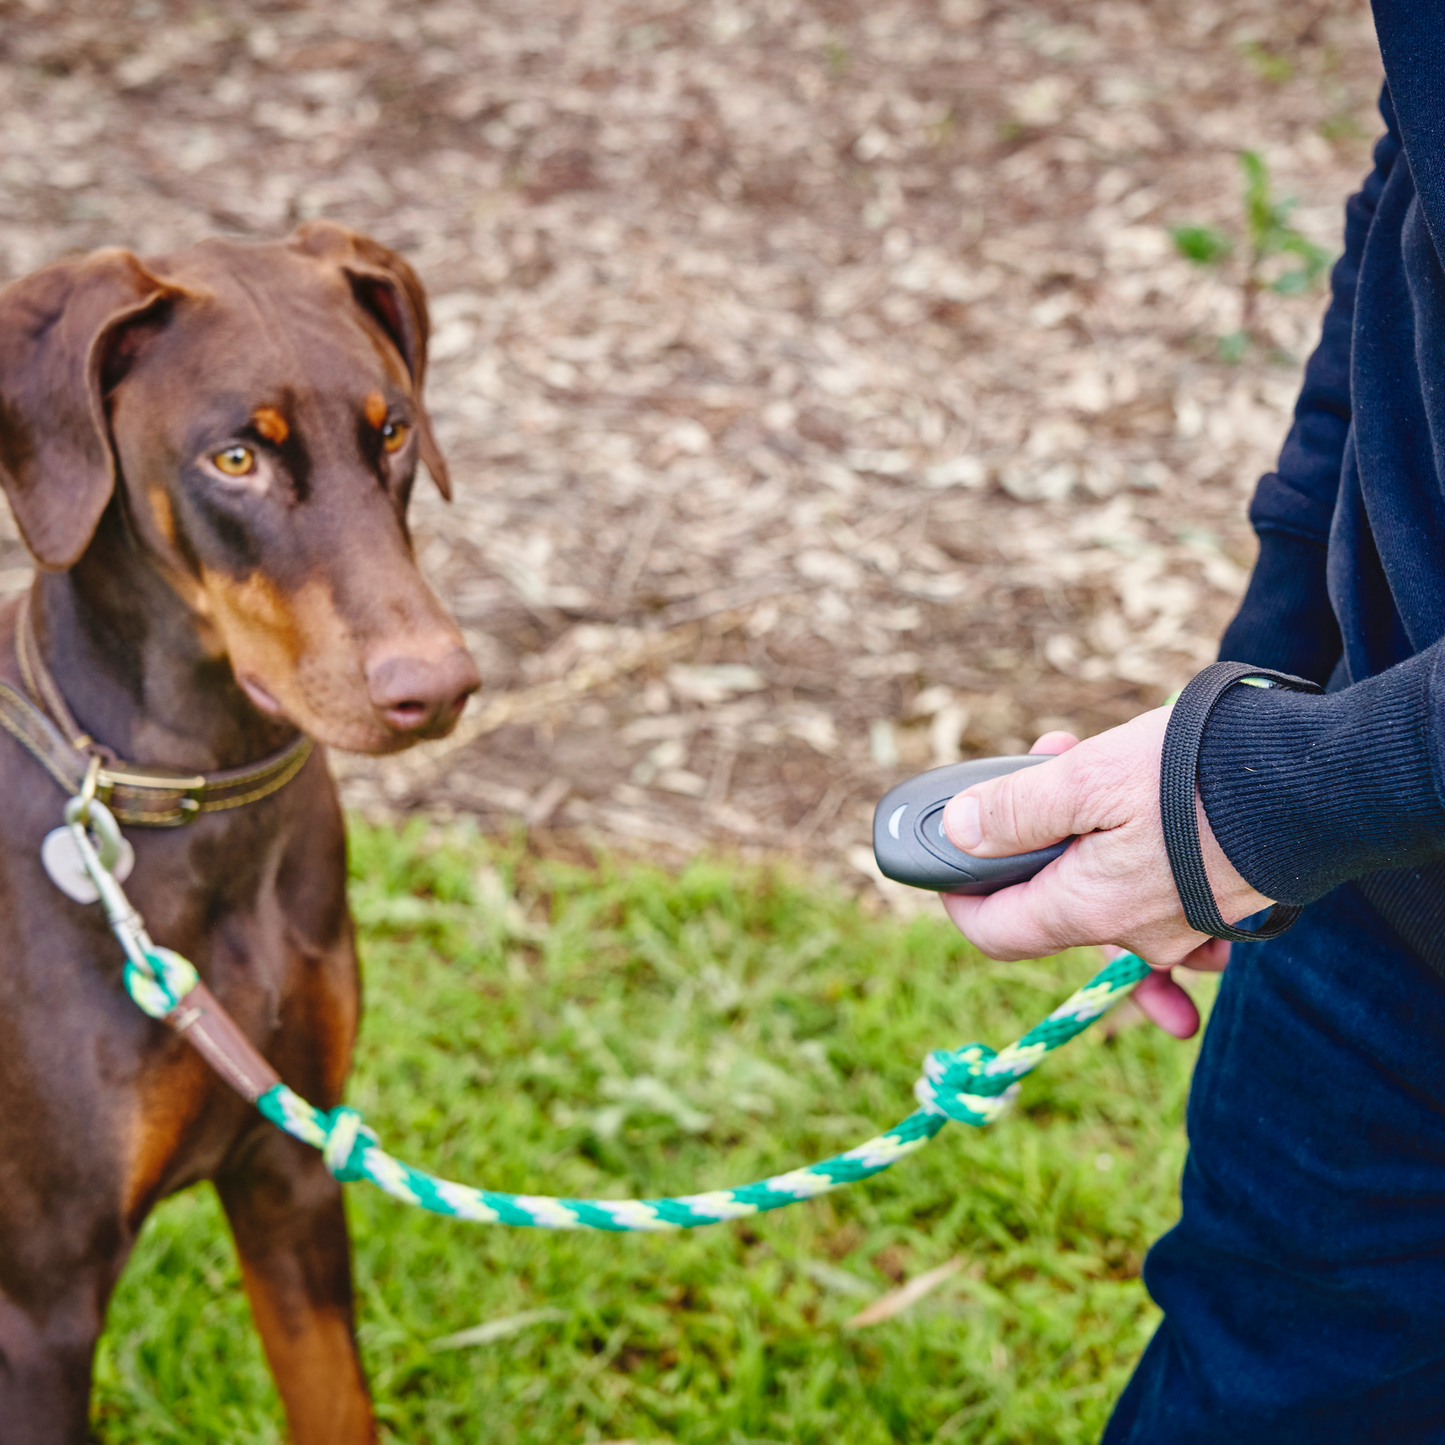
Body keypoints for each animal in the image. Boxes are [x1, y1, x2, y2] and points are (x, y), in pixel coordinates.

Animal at [0, 219, 479, 1439]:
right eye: (234, 460)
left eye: (392, 431)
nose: (438, 688)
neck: (203, 805)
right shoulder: (40, 1304)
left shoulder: (291, 1165)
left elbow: (334, 1400)